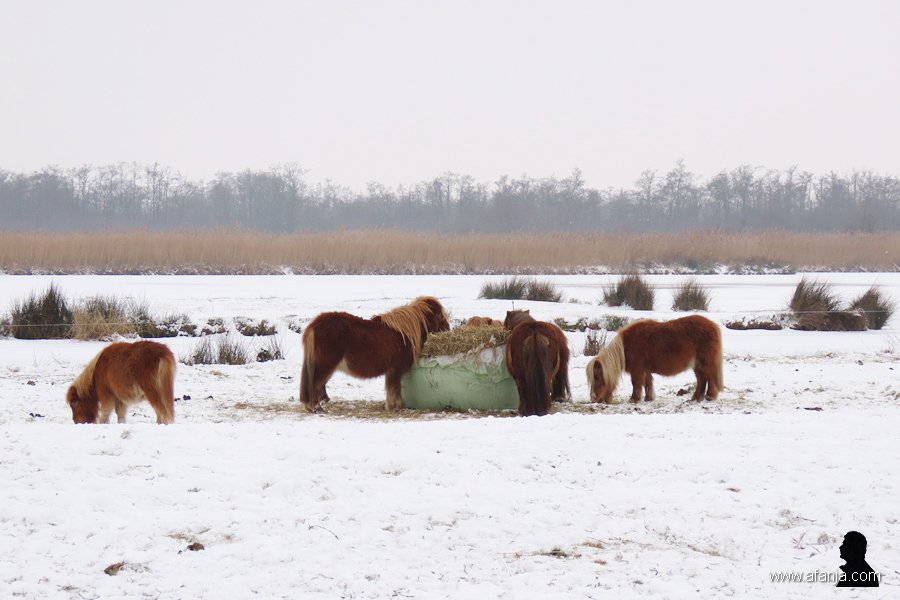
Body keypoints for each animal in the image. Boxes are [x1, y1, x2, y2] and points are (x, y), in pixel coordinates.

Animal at [300, 296, 450, 412]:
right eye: (440, 316)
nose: (448, 329)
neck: (404, 334)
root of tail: (314, 325)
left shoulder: (392, 371)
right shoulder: (395, 370)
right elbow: (394, 389)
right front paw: (395, 407)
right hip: (325, 365)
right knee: (316, 383)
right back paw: (315, 407)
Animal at [587, 315, 723, 404]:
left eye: (597, 377)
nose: (594, 399)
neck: (625, 347)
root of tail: (713, 325)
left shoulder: (637, 370)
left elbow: (636, 384)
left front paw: (634, 399)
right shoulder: (645, 370)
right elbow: (648, 383)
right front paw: (648, 398)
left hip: (705, 363)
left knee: (709, 377)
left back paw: (710, 396)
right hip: (697, 365)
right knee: (701, 379)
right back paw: (696, 398)